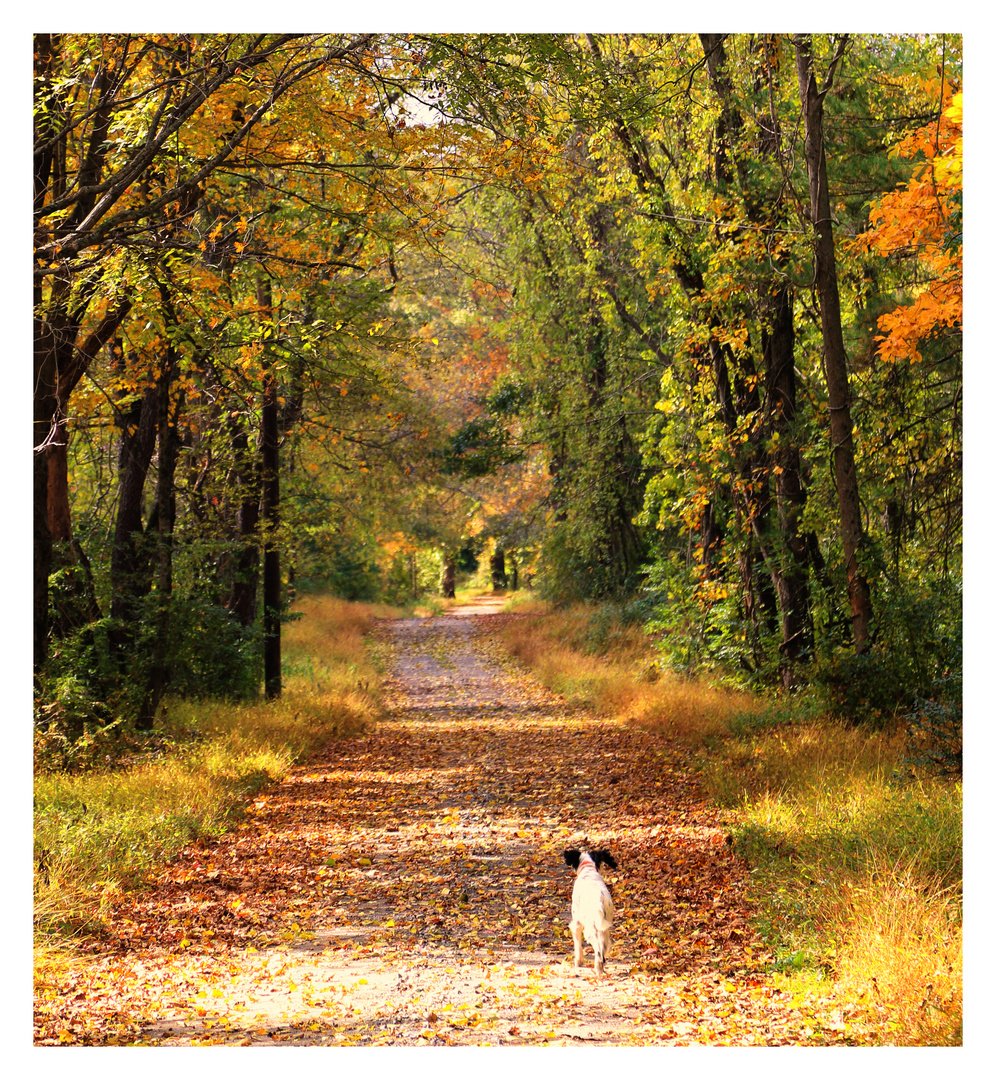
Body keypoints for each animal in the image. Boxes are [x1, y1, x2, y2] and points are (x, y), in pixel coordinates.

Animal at [561, 851, 617, 980]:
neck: (588, 868)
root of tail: (599, 900)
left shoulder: (576, 923)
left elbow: (577, 944)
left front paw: (578, 961)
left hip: (591, 929)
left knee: (598, 952)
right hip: (603, 930)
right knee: (602, 952)